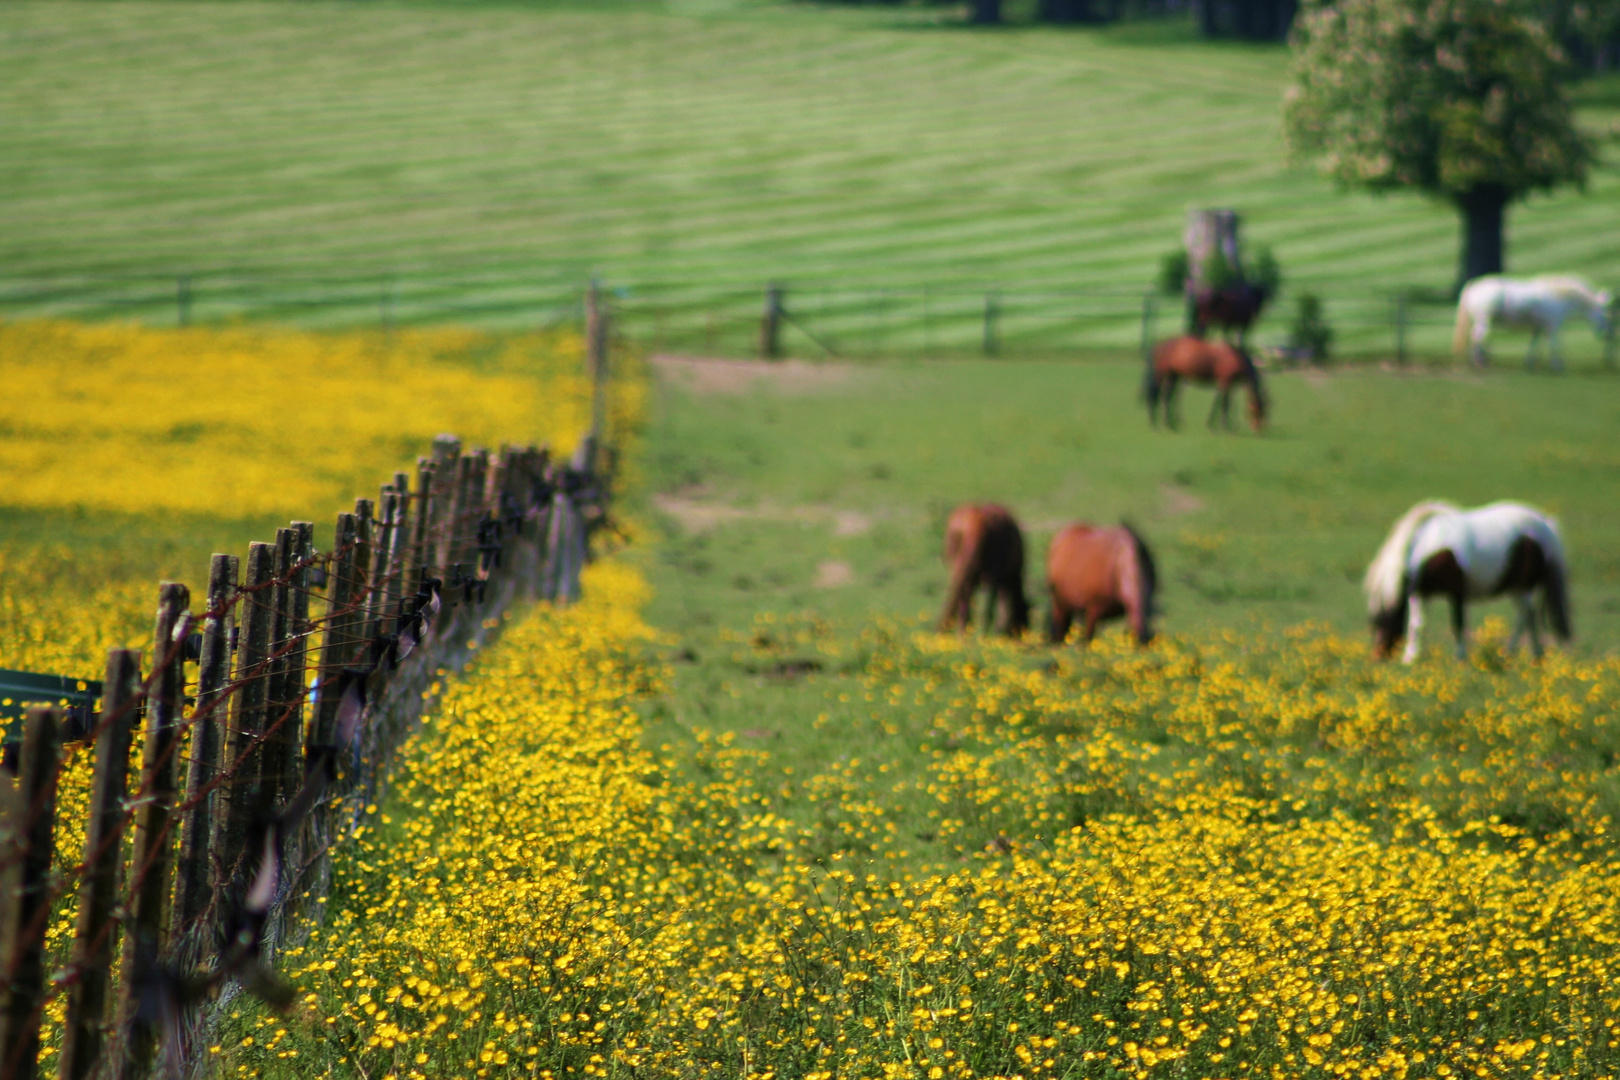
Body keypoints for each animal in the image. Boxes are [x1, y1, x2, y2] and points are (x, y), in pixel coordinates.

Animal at [939, 505, 1023, 637]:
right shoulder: (999, 580)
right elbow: (999, 608)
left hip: (960, 571)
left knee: (963, 604)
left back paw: (963, 634)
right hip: (988, 577)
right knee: (985, 609)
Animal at [1360, 501, 1574, 663]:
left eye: (1380, 620)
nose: (1377, 656)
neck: (1426, 546)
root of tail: (1544, 526)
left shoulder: (1456, 591)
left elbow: (1458, 624)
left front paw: (1460, 657)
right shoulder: (1420, 592)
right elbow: (1417, 624)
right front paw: (1411, 658)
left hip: (1522, 587)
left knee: (1526, 616)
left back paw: (1518, 653)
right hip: (1516, 589)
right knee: (1527, 616)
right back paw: (1529, 655)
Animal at [1464, 275, 1613, 372]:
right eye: (1603, 314)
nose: (1605, 334)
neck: (1559, 298)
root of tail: (1473, 289)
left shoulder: (1539, 327)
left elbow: (1534, 344)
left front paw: (1530, 364)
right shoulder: (1553, 327)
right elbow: (1554, 345)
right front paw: (1557, 366)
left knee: (1477, 338)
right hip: (1484, 321)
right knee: (1478, 338)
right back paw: (1480, 362)